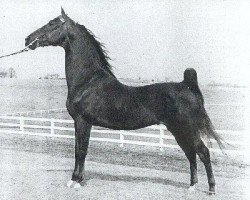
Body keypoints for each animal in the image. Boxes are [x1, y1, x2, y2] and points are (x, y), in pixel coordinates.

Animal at [24, 8, 223, 195]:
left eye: (52, 23)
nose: (28, 40)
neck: (87, 81)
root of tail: (186, 85)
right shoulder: (78, 123)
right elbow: (77, 149)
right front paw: (74, 179)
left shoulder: (83, 121)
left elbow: (81, 151)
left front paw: (76, 181)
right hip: (178, 130)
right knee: (191, 154)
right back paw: (192, 186)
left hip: (186, 129)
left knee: (203, 152)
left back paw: (211, 189)